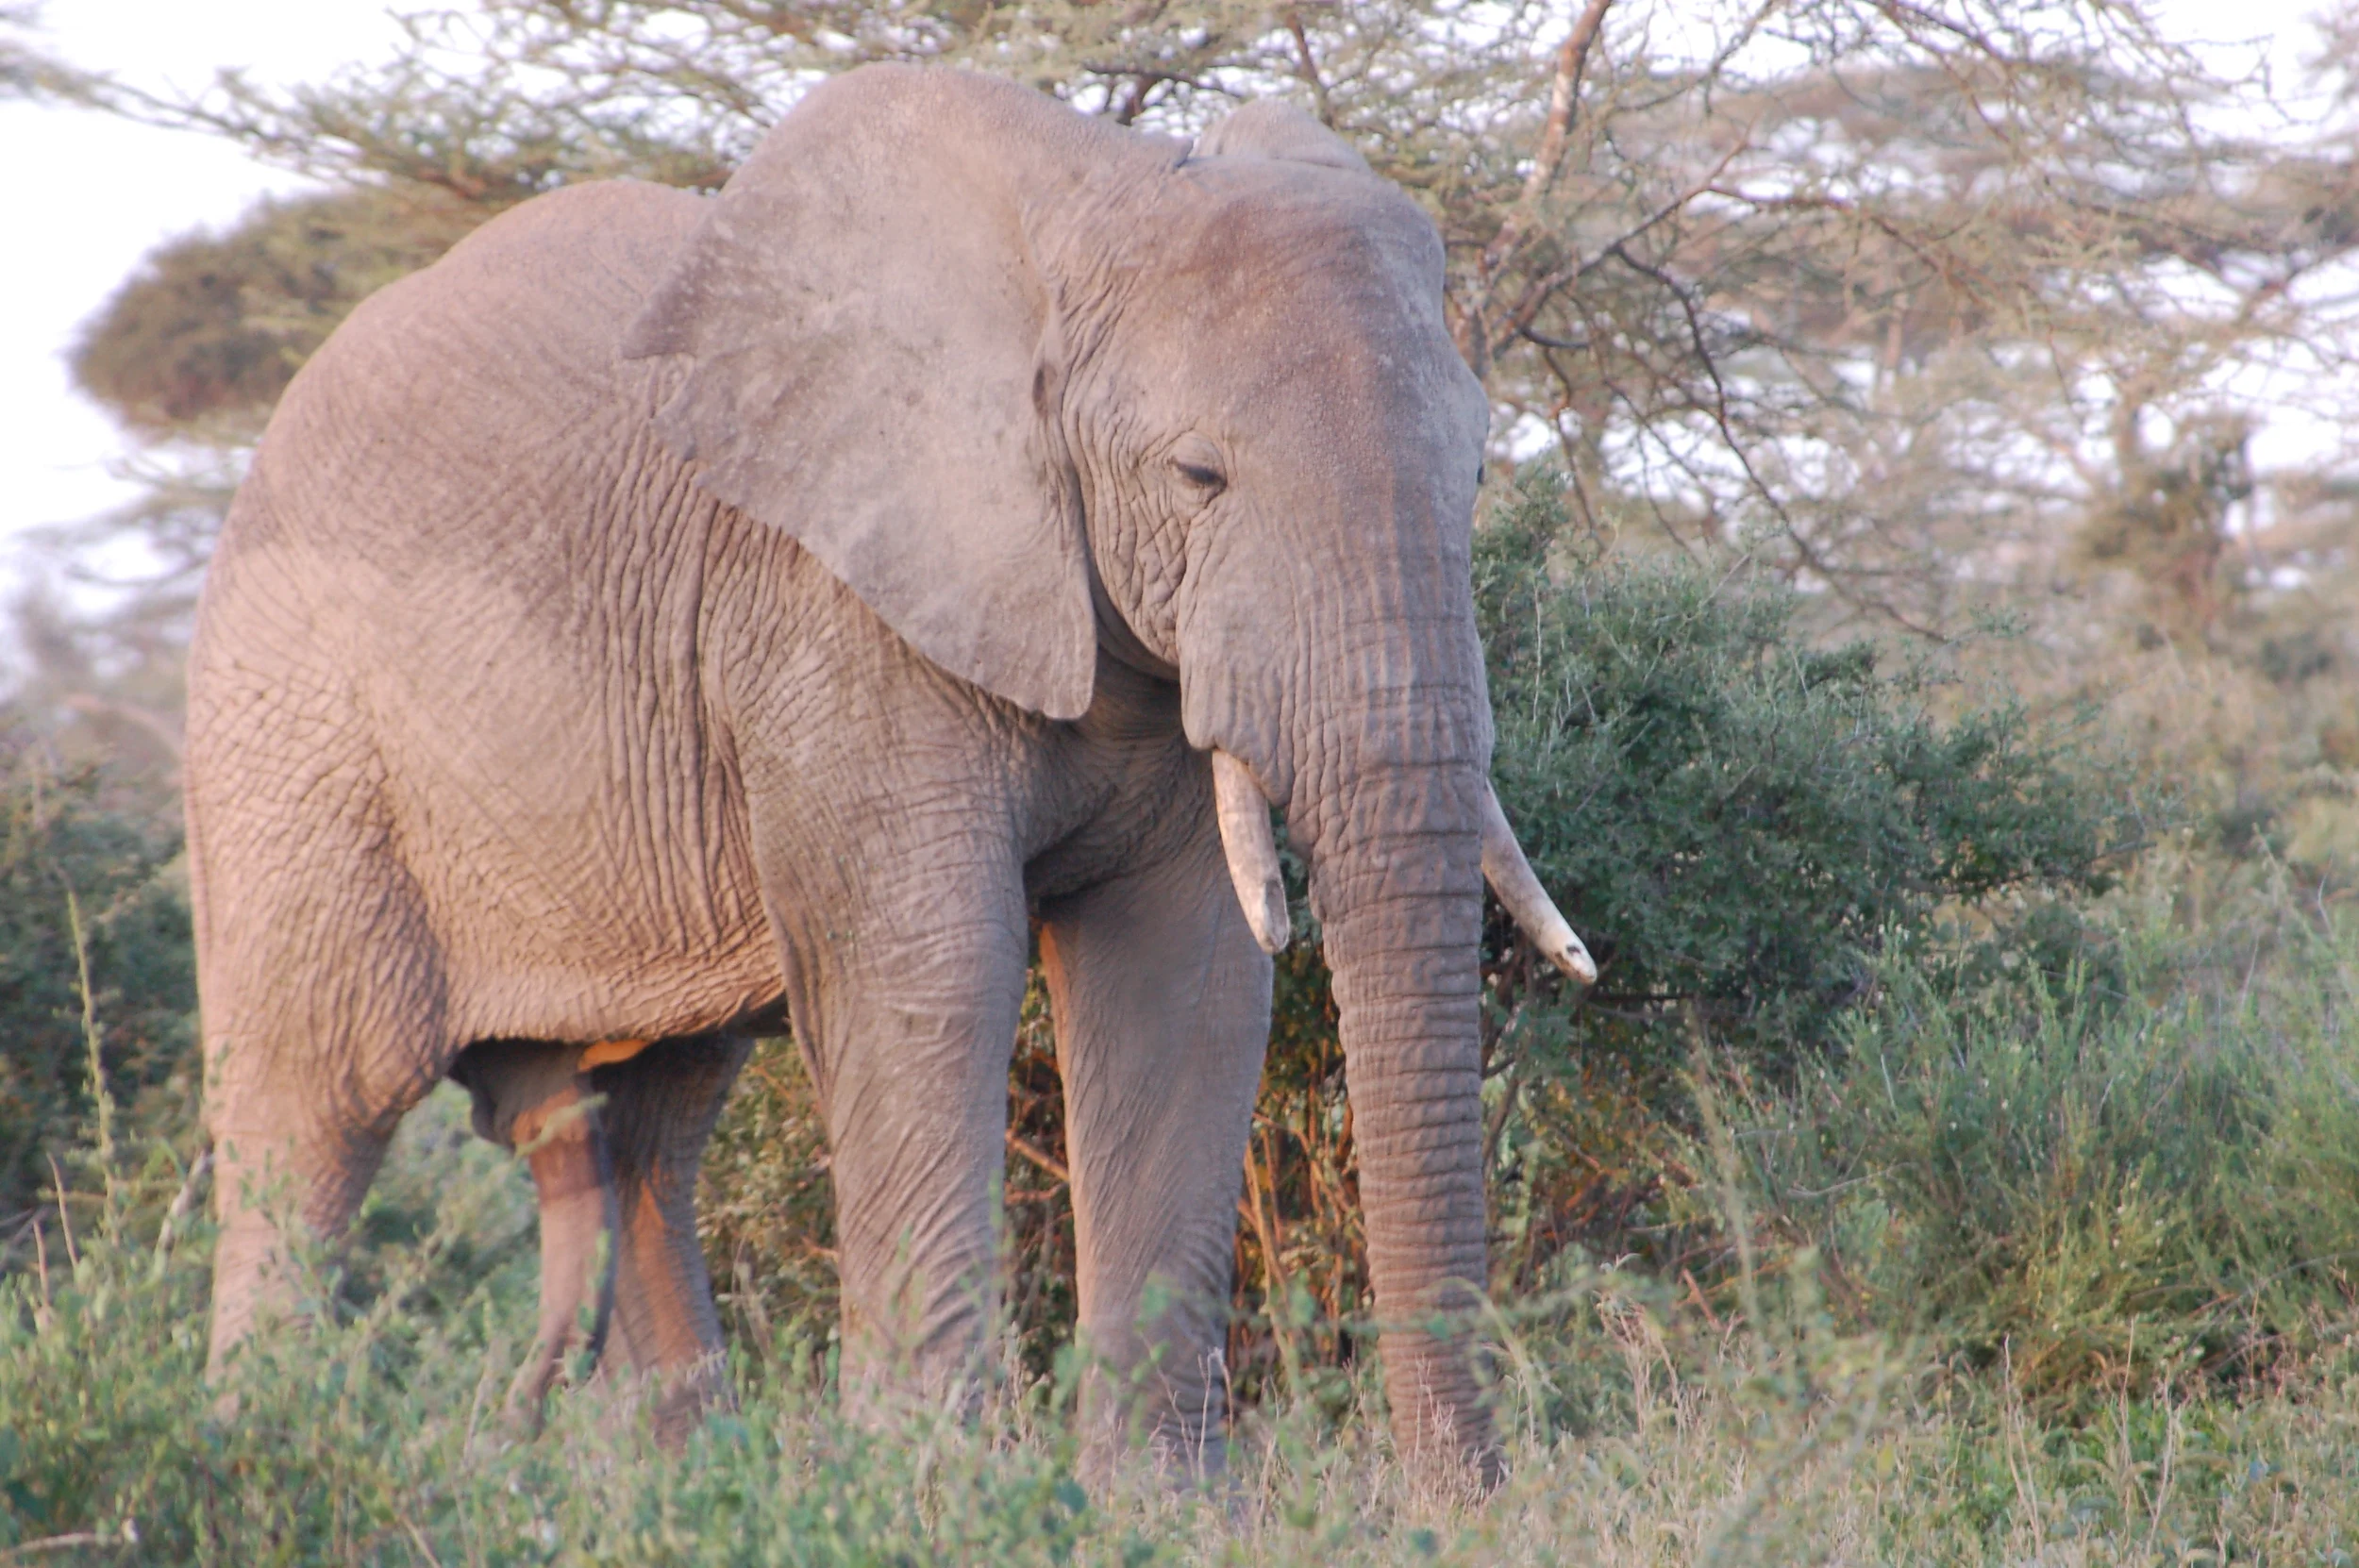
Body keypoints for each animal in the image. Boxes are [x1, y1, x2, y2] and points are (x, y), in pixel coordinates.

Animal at [185, 63, 1594, 1480]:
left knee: (643, 1131)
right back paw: (258, 1454)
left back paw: (697, 1485)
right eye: (1199, 474)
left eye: (1478, 469)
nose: (1464, 1493)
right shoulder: (832, 609)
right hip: (287, 745)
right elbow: (932, 966)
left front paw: (1157, 1503)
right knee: (312, 1111)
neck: (1089, 202)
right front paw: (940, 1493)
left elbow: (1184, 979)